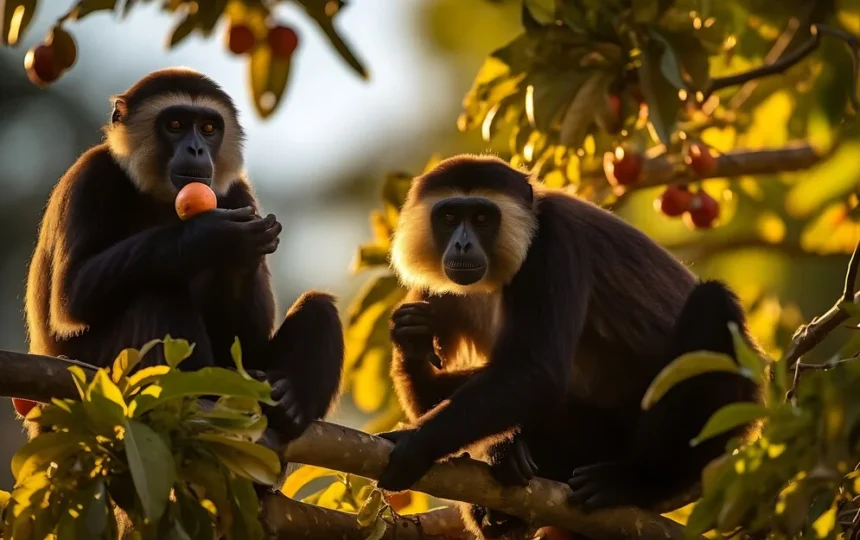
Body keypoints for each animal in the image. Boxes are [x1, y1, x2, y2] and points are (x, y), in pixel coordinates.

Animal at [23, 68, 344, 444]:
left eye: (208, 128)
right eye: (175, 125)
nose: (196, 148)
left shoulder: (237, 192)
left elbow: (243, 338)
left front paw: (242, 254)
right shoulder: (91, 176)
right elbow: (71, 297)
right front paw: (211, 237)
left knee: (319, 306)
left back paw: (289, 406)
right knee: (157, 296)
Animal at [374, 154, 761, 539]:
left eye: (482, 218)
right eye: (450, 217)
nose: (463, 245)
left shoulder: (552, 243)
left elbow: (536, 373)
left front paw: (413, 444)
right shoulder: (439, 289)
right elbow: (430, 392)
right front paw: (413, 342)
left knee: (712, 305)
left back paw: (638, 482)